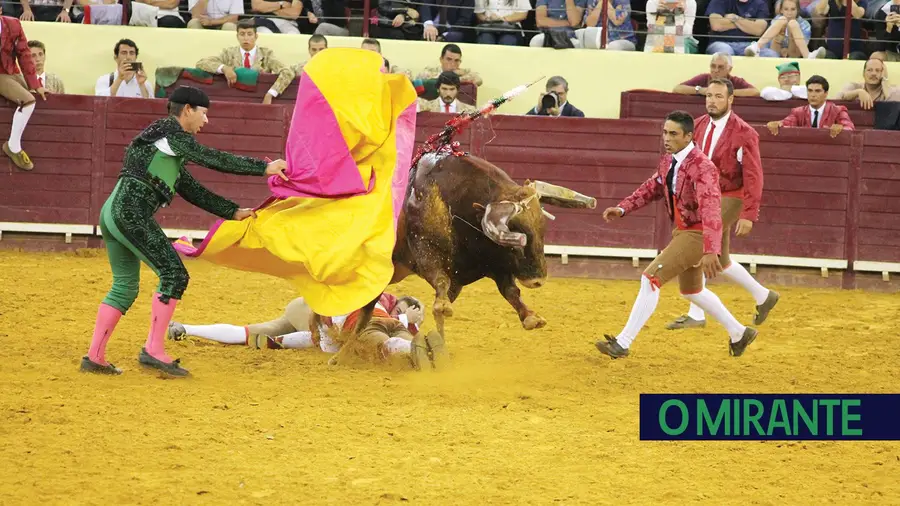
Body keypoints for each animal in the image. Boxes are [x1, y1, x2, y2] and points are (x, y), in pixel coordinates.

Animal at [390, 152, 596, 338]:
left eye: (542, 230)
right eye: (514, 235)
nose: (538, 280)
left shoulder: (493, 264)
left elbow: (511, 290)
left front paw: (530, 317)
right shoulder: (425, 249)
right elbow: (441, 283)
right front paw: (442, 308)